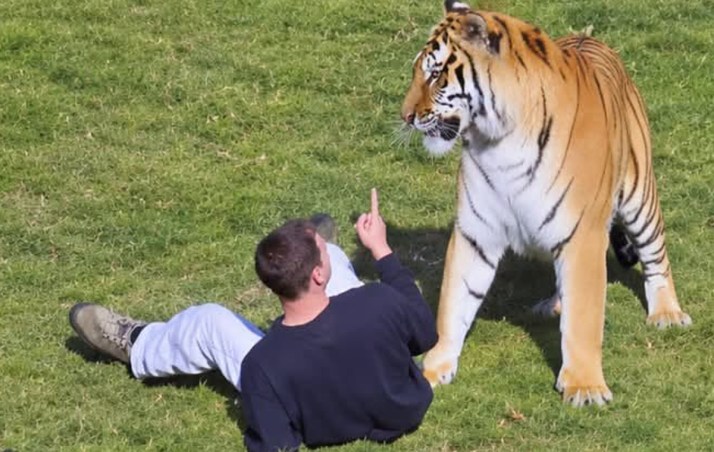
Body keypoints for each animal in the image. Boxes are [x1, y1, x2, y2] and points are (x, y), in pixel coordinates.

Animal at [400, 0, 692, 406]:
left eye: (436, 74)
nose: (406, 116)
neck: (500, 140)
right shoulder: (476, 232)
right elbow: (453, 303)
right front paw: (432, 369)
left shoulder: (583, 234)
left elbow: (584, 316)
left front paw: (584, 387)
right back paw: (553, 305)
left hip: (639, 198)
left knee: (656, 257)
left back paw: (667, 313)